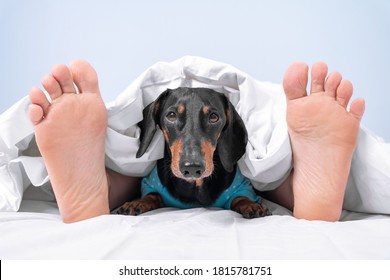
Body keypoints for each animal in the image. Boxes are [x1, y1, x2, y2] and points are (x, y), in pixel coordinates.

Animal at [117, 87, 270, 219]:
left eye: (213, 117)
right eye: (171, 115)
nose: (192, 167)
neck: (194, 185)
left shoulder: (242, 185)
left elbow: (240, 197)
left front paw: (251, 205)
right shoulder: (150, 183)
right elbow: (152, 195)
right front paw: (137, 202)